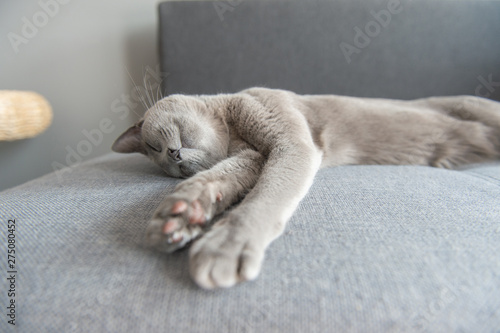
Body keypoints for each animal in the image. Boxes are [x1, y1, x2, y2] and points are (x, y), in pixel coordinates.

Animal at [112, 86, 500, 288]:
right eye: (160, 158)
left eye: (153, 145)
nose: (173, 158)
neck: (233, 132)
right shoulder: (251, 158)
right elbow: (219, 177)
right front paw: (180, 216)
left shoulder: (290, 143)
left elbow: (266, 195)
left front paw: (224, 247)